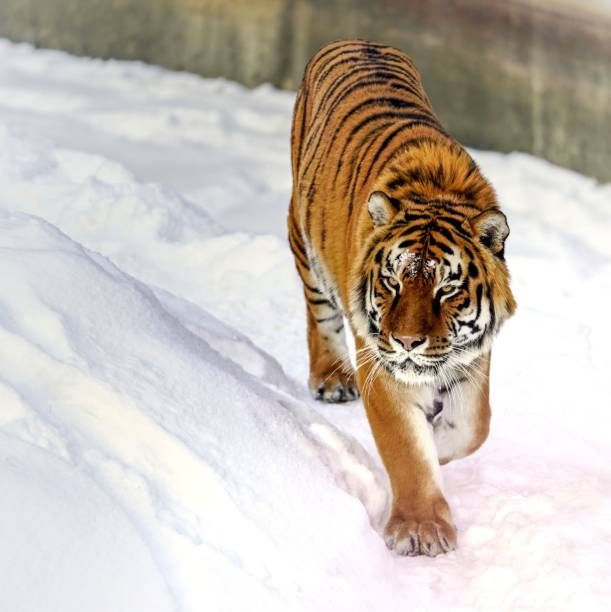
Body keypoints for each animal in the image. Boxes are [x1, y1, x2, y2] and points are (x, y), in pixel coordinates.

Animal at [288, 37, 516, 556]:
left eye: (446, 289)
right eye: (392, 282)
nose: (409, 342)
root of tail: (356, 39)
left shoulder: (474, 354)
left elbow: (474, 425)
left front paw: (441, 442)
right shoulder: (380, 359)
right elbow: (406, 449)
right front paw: (420, 529)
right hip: (302, 238)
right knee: (319, 315)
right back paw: (331, 379)